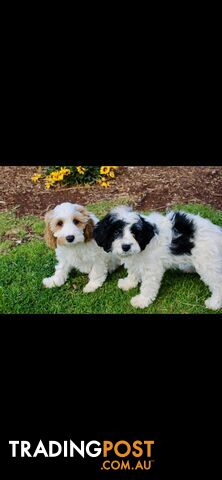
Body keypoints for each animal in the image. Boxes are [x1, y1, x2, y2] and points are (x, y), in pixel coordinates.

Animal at [93, 206, 222, 312]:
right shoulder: (135, 260)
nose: (126, 246)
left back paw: (214, 303)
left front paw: (142, 300)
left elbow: (148, 286)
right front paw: (129, 283)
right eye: (116, 232)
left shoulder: (152, 268)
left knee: (218, 284)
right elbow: (133, 272)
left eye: (135, 233)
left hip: (207, 263)